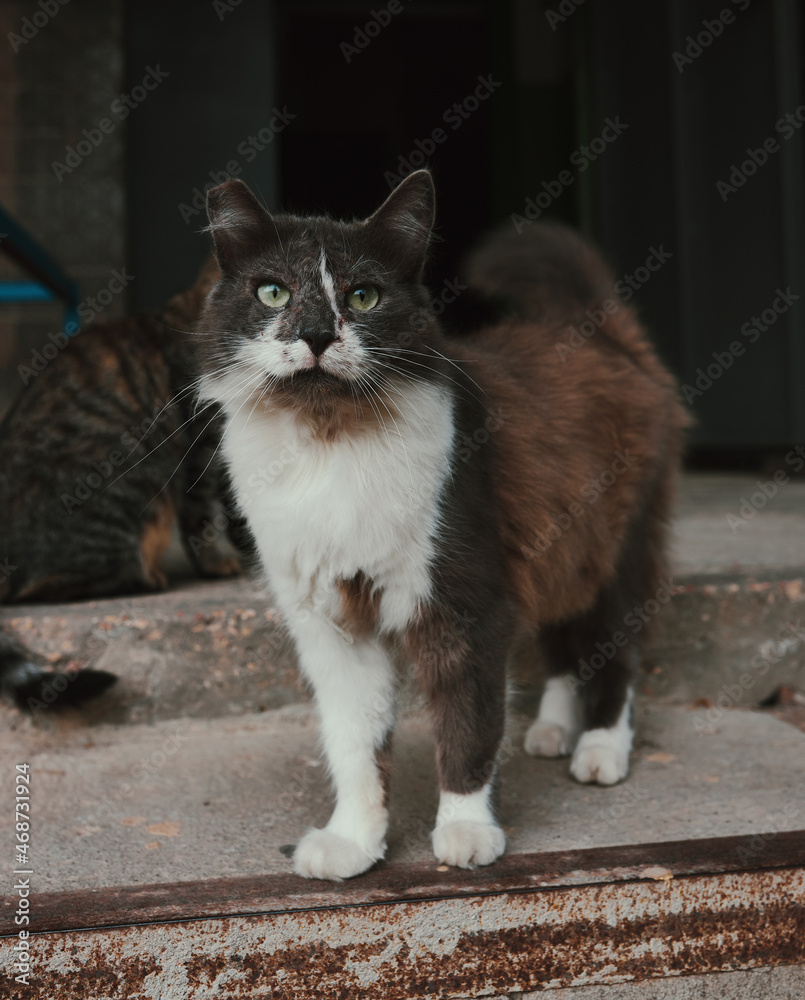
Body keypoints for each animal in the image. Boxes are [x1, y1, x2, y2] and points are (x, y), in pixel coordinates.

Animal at [196, 174, 684, 884]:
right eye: (273, 292)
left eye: (363, 297)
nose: (316, 334)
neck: (329, 438)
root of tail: (596, 333)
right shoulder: (332, 625)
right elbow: (355, 744)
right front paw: (355, 840)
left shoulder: (466, 606)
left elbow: (467, 725)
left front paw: (465, 829)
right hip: (558, 551)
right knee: (564, 645)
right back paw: (552, 728)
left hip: (613, 552)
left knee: (614, 649)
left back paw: (599, 747)